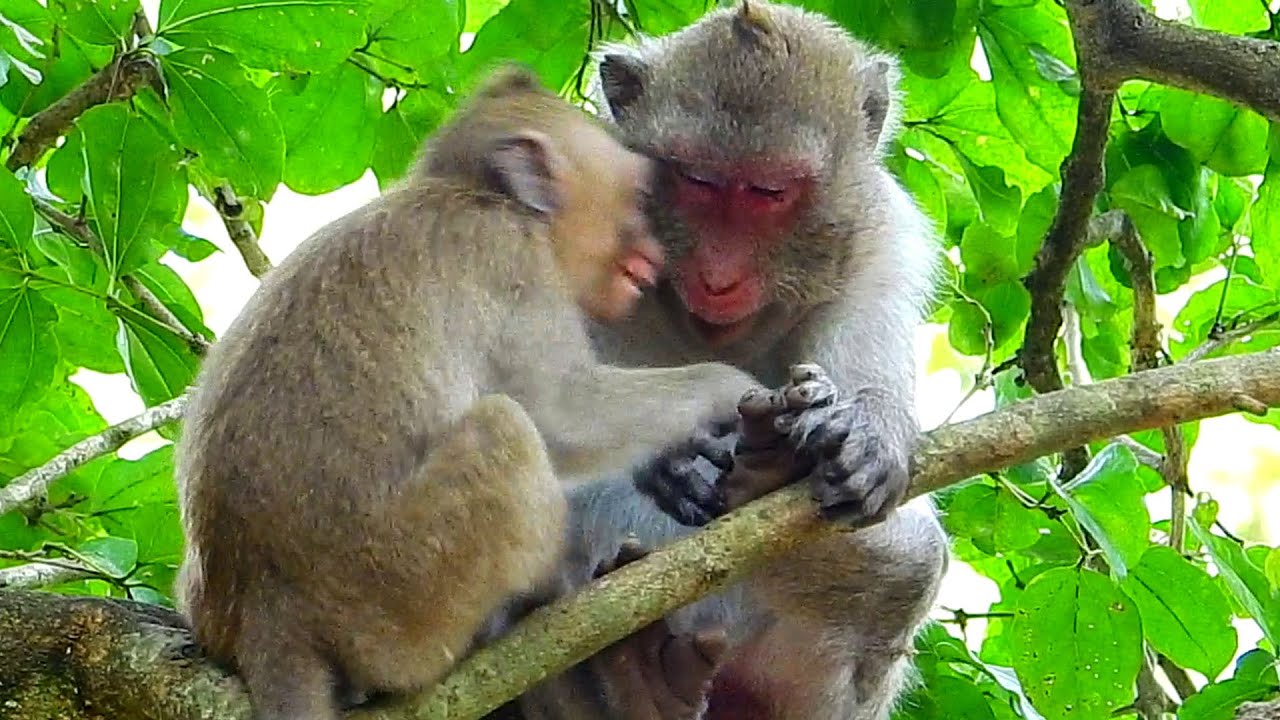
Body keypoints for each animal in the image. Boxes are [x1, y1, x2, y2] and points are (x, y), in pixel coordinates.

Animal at [172, 64, 760, 720]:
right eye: (639, 200)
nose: (654, 257)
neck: (479, 194)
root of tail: (267, 612)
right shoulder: (513, 260)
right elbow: (563, 412)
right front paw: (731, 388)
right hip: (402, 587)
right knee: (506, 426)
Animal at [488, 3, 952, 718]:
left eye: (769, 192)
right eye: (697, 180)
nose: (718, 273)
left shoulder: (883, 243)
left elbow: (871, 389)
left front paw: (868, 435)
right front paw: (669, 456)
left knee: (912, 562)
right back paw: (637, 679)